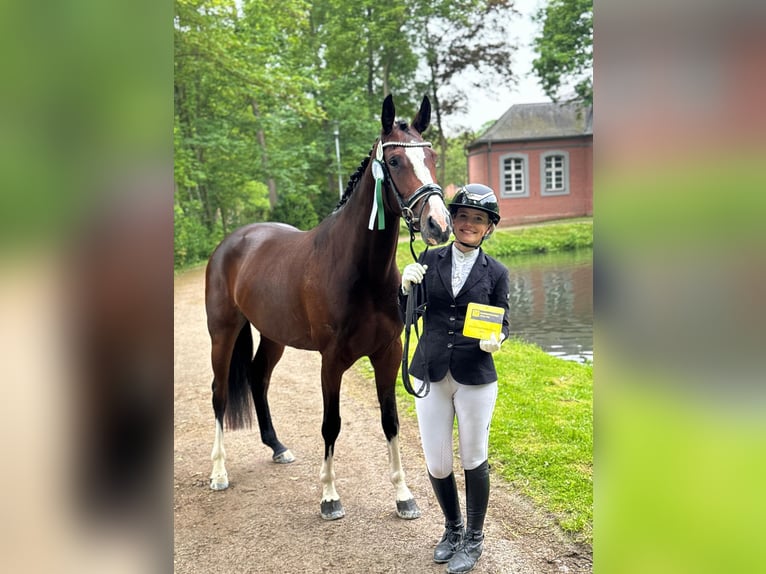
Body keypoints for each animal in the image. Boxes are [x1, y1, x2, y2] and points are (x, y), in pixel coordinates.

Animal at [207, 95, 452, 520]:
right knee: (219, 393)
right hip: (223, 333)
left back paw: (277, 447)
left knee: (257, 378)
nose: (439, 223)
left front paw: (403, 495)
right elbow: (331, 424)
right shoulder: (331, 359)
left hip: (273, 336)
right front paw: (329, 497)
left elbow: (390, 421)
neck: (359, 271)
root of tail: (232, 242)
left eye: (431, 156)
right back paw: (219, 472)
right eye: (394, 161)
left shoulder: (388, 353)